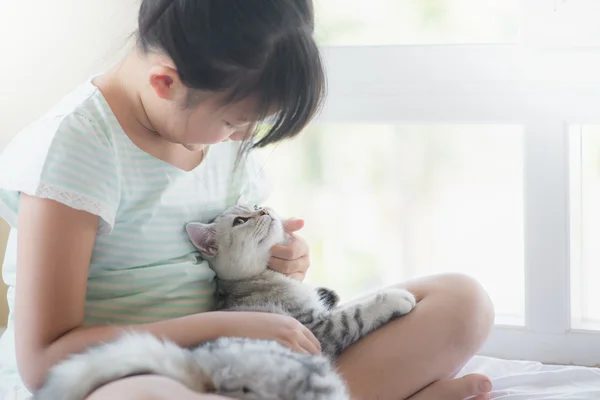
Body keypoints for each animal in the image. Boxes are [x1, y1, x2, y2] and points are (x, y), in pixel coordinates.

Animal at [184, 205, 418, 358]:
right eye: (240, 221)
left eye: (255, 206)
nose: (264, 210)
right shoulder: (318, 328)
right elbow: (356, 314)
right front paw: (394, 298)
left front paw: (328, 293)